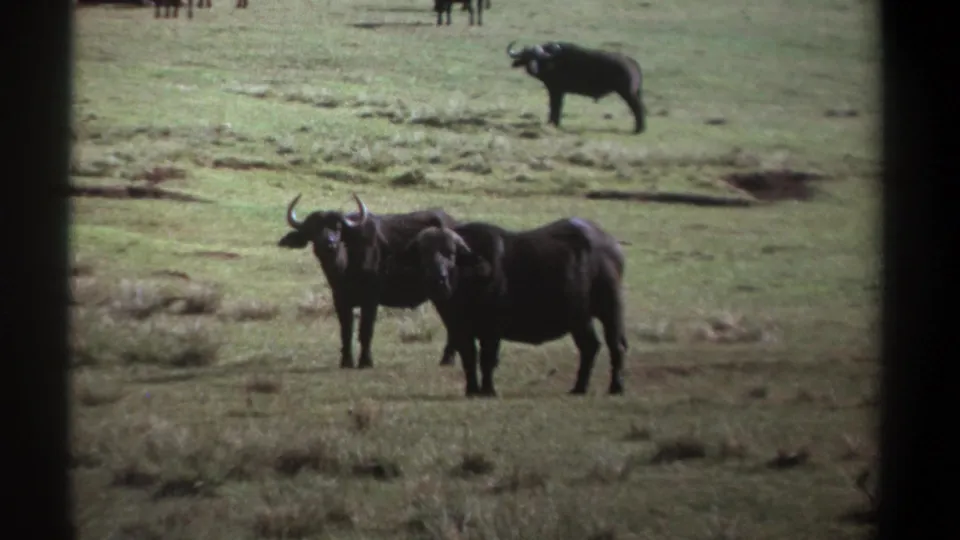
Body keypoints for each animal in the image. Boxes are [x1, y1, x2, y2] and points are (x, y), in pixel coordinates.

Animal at [278, 193, 460, 369]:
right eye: (313, 229)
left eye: (338, 228)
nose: (329, 243)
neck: (346, 265)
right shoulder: (340, 300)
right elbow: (346, 330)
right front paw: (346, 361)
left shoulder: (370, 300)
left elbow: (365, 330)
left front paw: (365, 361)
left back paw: (447, 359)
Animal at [391, 217, 629, 397]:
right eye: (422, 255)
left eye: (451, 254)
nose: (437, 279)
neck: (467, 284)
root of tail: (612, 245)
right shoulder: (460, 329)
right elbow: (469, 358)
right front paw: (472, 389)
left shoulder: (492, 329)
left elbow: (487, 358)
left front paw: (487, 390)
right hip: (580, 317)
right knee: (590, 346)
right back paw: (579, 387)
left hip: (610, 309)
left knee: (615, 346)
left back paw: (615, 387)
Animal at [506, 40, 647, 134]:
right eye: (526, 57)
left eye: (538, 58)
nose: (532, 69)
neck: (553, 62)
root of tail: (632, 63)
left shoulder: (556, 90)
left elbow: (555, 106)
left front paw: (553, 122)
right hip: (636, 92)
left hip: (628, 92)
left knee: (637, 108)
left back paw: (638, 129)